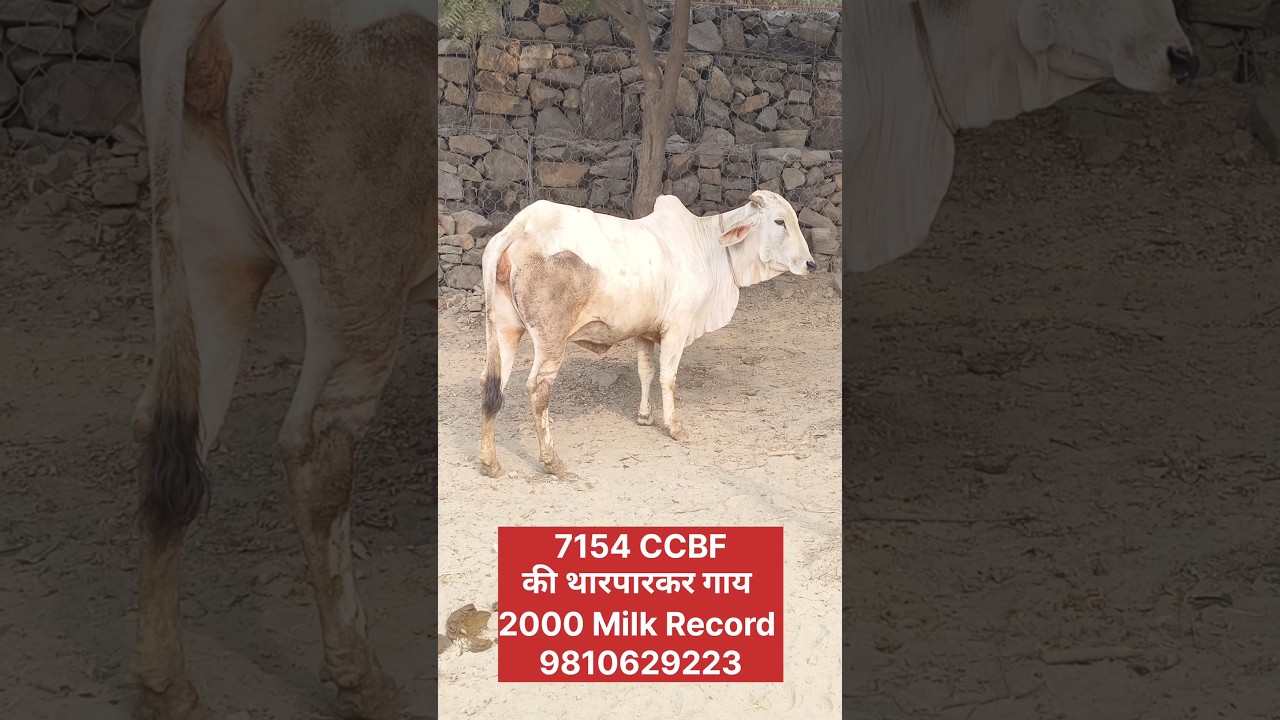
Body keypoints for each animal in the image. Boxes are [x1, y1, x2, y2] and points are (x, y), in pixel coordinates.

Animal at [129, 1, 435, 719]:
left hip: (206, 261)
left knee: (168, 429)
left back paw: (165, 685)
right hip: (359, 281)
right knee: (317, 448)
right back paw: (364, 680)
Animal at [476, 190, 817, 482]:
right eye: (779, 221)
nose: (811, 264)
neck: (709, 247)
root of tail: (520, 227)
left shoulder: (643, 330)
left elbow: (645, 371)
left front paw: (644, 416)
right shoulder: (677, 326)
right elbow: (668, 377)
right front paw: (675, 427)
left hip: (504, 330)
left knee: (492, 384)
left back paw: (490, 462)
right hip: (550, 339)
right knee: (537, 389)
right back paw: (552, 461)